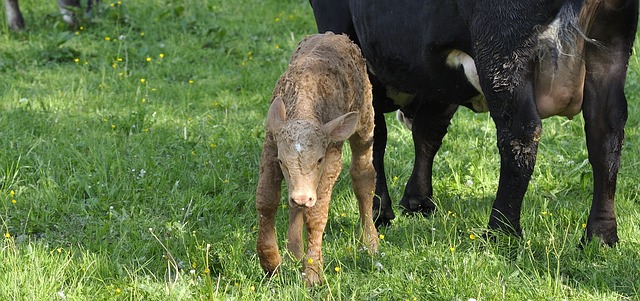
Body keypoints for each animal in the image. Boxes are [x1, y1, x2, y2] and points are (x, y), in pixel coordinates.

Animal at [308, 0, 636, 244]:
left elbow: (374, 137)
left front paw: (379, 212)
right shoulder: (439, 80)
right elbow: (428, 134)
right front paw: (418, 200)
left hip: (503, 52)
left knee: (520, 135)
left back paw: (500, 231)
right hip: (610, 48)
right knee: (606, 134)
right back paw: (600, 236)